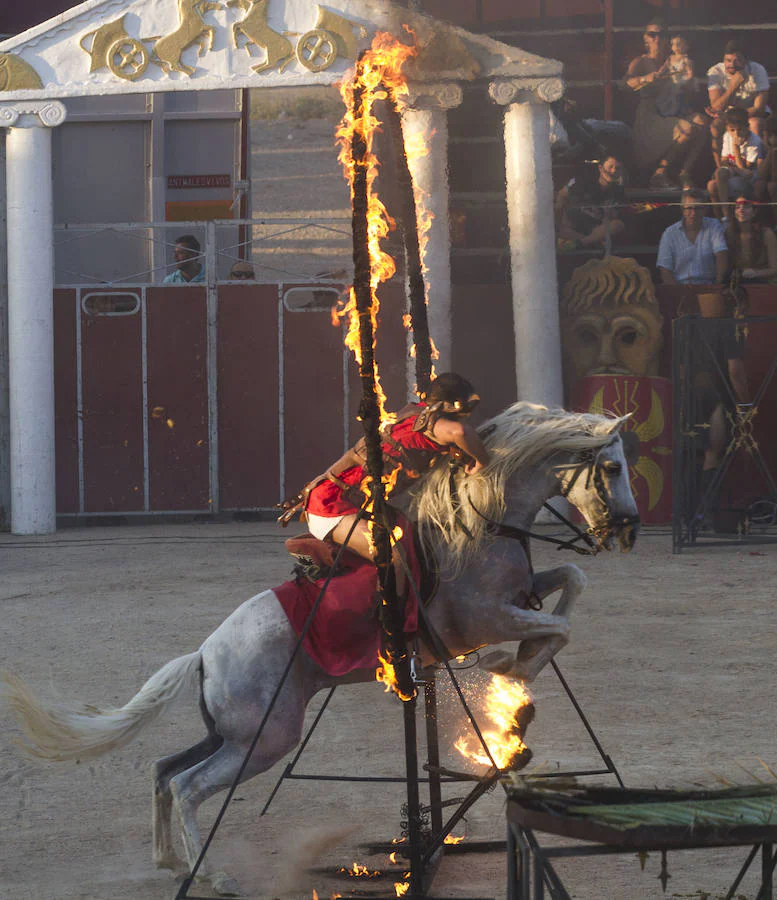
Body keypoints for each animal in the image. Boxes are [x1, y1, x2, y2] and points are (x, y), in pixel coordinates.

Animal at [4, 404, 636, 896]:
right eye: (611, 467)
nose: (628, 529)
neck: (479, 525)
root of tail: (206, 652)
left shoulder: (521, 595)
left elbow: (572, 582)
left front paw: (520, 664)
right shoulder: (483, 618)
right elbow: (557, 628)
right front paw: (516, 665)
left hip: (230, 733)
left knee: (164, 771)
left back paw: (174, 863)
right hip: (266, 739)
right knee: (189, 787)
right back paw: (211, 875)